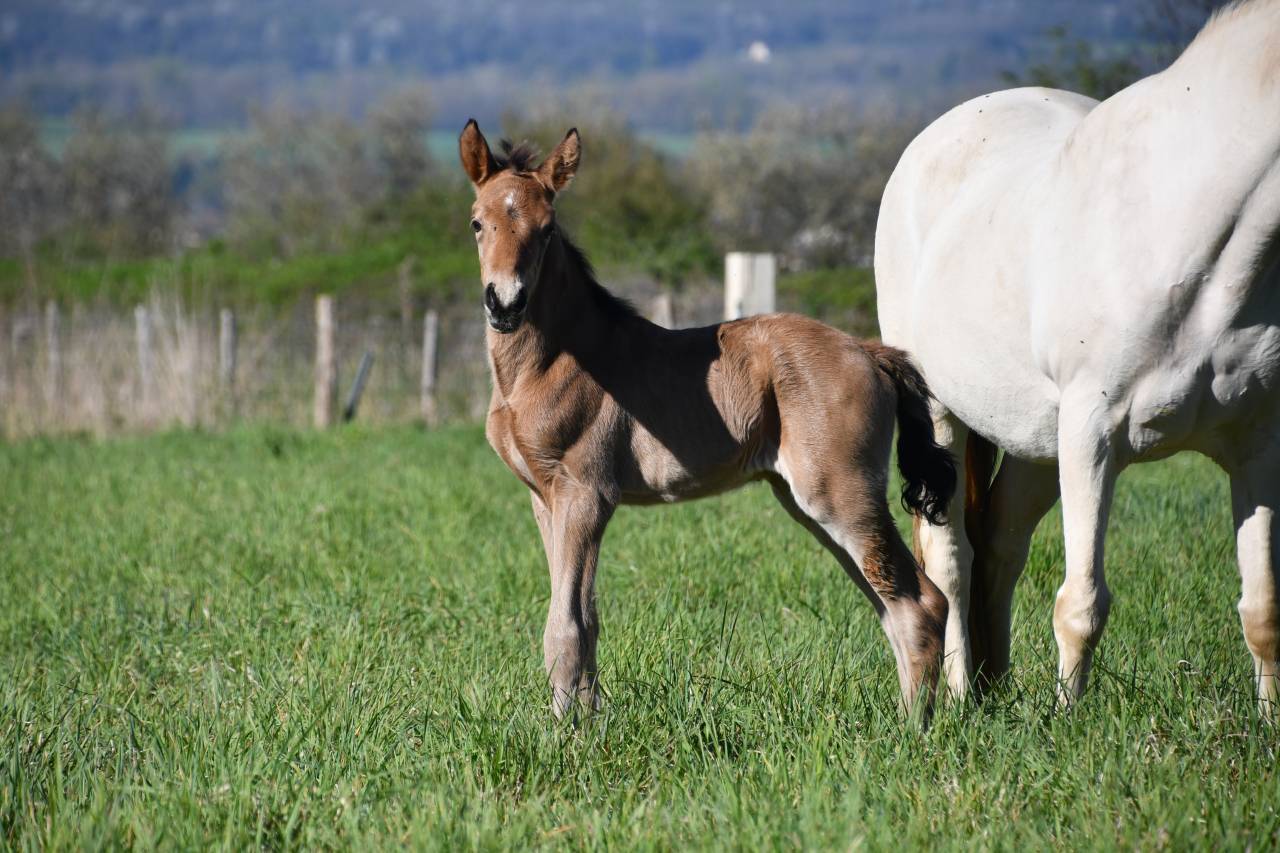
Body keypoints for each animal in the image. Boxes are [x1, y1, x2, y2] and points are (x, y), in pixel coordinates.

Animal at [457, 119, 957, 720]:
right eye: (477, 222)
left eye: (547, 229)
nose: (505, 303)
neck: (550, 363)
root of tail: (869, 350)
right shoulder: (544, 497)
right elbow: (580, 615)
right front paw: (584, 719)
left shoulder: (586, 493)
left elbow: (566, 625)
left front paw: (569, 732)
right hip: (808, 503)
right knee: (888, 602)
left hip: (840, 494)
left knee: (919, 601)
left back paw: (914, 730)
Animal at [874, 0, 1280, 713]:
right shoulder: (1092, 435)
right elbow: (1081, 603)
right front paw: (1068, 719)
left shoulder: (1256, 442)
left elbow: (1262, 610)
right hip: (950, 417)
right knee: (953, 562)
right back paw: (961, 698)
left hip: (1037, 441)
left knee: (1000, 543)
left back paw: (996, 686)